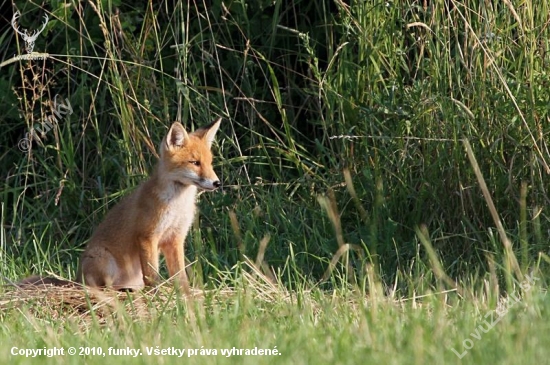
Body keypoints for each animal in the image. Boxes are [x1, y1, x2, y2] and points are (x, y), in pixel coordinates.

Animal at [19, 119, 222, 292]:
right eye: (195, 163)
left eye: (210, 163)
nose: (217, 183)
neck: (177, 204)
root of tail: (76, 280)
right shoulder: (147, 236)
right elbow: (152, 275)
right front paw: (157, 294)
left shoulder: (175, 238)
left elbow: (180, 276)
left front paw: (186, 295)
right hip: (104, 261)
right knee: (102, 288)